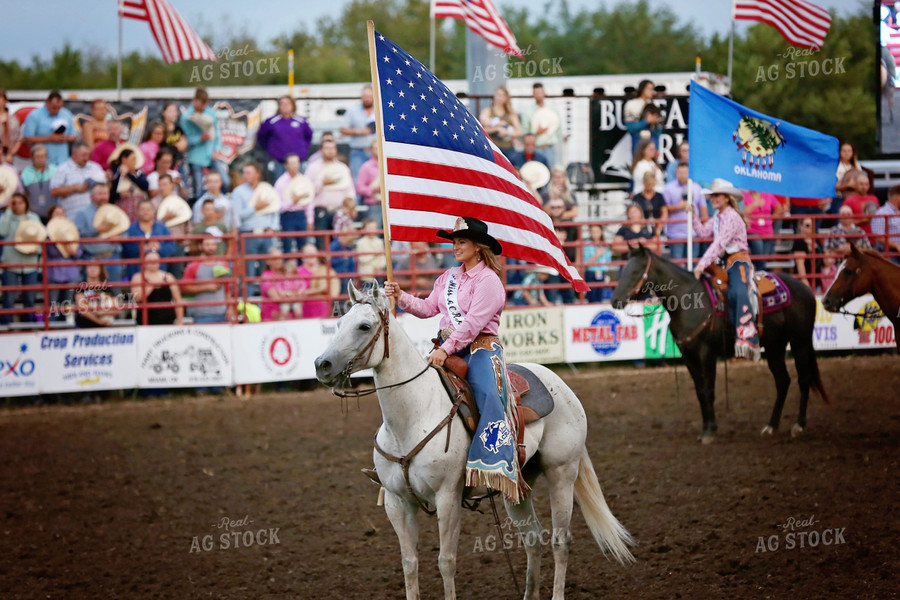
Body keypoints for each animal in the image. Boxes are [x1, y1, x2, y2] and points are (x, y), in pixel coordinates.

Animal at [314, 282, 632, 600]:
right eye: (339, 323)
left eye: (364, 326)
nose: (321, 364)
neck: (413, 415)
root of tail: (560, 384)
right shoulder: (397, 502)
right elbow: (409, 563)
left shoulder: (447, 497)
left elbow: (446, 561)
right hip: (518, 486)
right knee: (533, 538)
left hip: (562, 474)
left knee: (560, 540)